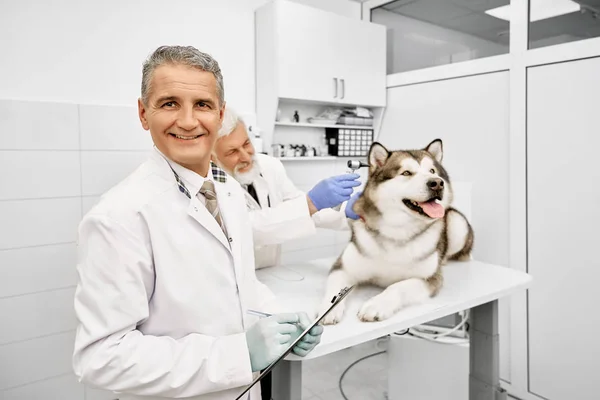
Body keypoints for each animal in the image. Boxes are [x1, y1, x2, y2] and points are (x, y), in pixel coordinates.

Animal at [318, 139, 474, 324]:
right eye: (406, 173)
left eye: (432, 171)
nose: (437, 183)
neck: (397, 230)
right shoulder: (343, 268)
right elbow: (335, 290)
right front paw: (328, 310)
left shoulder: (430, 279)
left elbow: (397, 287)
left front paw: (376, 304)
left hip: (457, 222)